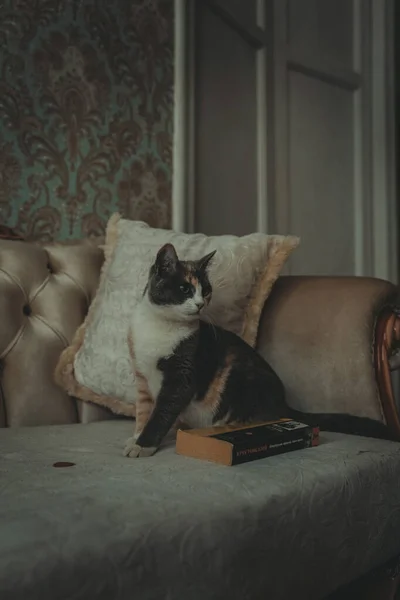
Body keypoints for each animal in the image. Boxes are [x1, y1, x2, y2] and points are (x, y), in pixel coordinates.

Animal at [123, 241, 396, 458]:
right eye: (185, 289)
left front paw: (142, 445)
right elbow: (145, 409)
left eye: (206, 290)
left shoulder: (183, 373)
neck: (162, 325)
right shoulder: (142, 375)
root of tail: (284, 405)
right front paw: (136, 436)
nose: (200, 303)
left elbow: (163, 411)